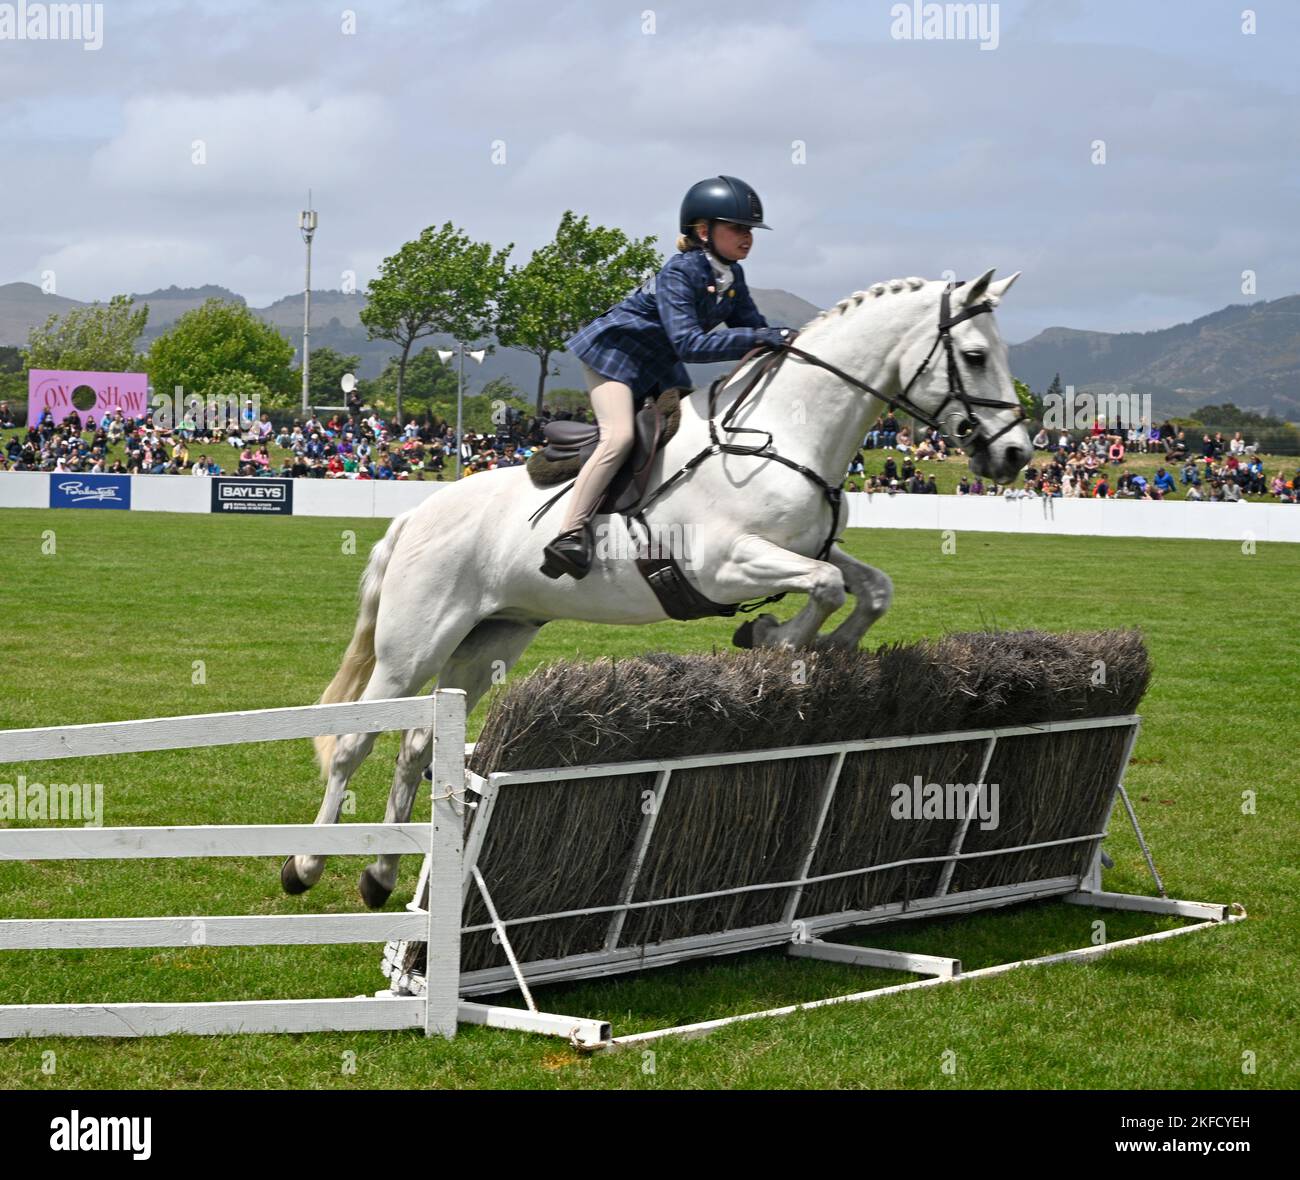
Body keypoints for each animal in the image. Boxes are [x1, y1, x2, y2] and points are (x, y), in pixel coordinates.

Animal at [282, 271, 1024, 909]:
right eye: (976, 355)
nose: (1014, 454)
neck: (786, 433)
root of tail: (414, 515)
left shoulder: (803, 547)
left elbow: (867, 587)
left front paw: (810, 645)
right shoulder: (721, 565)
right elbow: (828, 586)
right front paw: (775, 637)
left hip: (489, 641)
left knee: (414, 745)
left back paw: (380, 876)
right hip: (413, 646)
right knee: (354, 744)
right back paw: (305, 865)